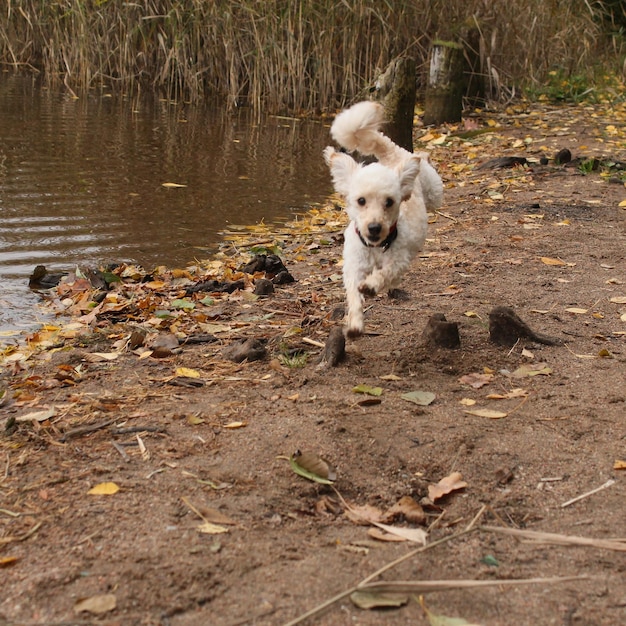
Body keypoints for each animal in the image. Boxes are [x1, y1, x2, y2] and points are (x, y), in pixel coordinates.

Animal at [324, 101, 442, 336]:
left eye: (389, 202)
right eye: (361, 200)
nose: (374, 227)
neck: (375, 247)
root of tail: (393, 155)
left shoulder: (399, 261)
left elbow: (385, 273)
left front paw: (371, 285)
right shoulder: (353, 266)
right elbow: (354, 295)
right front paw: (354, 323)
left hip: (435, 192)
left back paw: (424, 156)